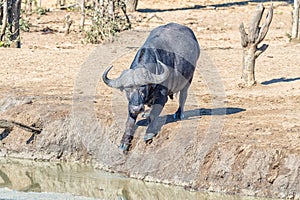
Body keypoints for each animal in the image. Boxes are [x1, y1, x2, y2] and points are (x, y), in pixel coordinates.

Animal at [102, 22, 199, 151]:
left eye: (143, 88)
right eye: (127, 89)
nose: (137, 109)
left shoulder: (162, 97)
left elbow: (154, 115)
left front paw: (149, 134)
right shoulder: (131, 103)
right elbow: (129, 121)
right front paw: (124, 142)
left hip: (189, 78)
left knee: (183, 96)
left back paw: (179, 113)